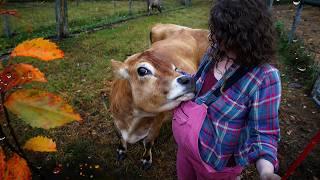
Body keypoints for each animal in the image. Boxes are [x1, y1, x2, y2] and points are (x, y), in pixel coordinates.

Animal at [110, 23, 210, 169]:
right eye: (142, 70)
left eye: (175, 68)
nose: (190, 79)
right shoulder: (115, 119)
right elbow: (120, 137)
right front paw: (121, 150)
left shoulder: (156, 123)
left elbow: (148, 142)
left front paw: (146, 159)